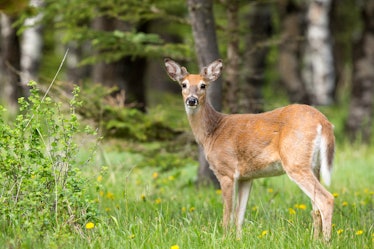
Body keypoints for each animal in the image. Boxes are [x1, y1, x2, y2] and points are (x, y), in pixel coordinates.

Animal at [164, 57, 336, 241]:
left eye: (203, 85)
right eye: (183, 84)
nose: (192, 100)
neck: (212, 132)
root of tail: (323, 122)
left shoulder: (226, 171)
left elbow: (228, 213)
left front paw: (224, 238)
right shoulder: (247, 177)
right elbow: (240, 214)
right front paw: (238, 239)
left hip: (295, 161)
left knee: (326, 199)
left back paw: (325, 241)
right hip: (314, 165)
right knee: (315, 208)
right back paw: (314, 240)